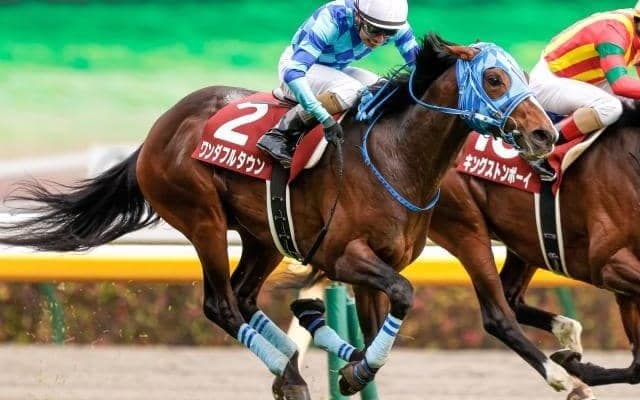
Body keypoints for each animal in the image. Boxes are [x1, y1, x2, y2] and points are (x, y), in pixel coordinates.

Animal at [0, 34, 556, 400]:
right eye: (494, 78)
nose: (544, 134)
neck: (395, 156)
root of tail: (158, 131)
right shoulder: (342, 255)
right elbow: (403, 294)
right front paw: (350, 368)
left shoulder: (377, 265)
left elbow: (383, 325)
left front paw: (350, 362)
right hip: (201, 218)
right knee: (221, 305)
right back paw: (289, 373)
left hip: (265, 235)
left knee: (245, 298)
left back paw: (292, 363)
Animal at [421, 104, 640, 396]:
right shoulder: (610, 262)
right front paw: (572, 367)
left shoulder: (622, 287)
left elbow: (637, 365)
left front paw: (573, 362)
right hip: (465, 227)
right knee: (497, 315)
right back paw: (560, 374)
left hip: (523, 241)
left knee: (511, 297)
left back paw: (566, 332)